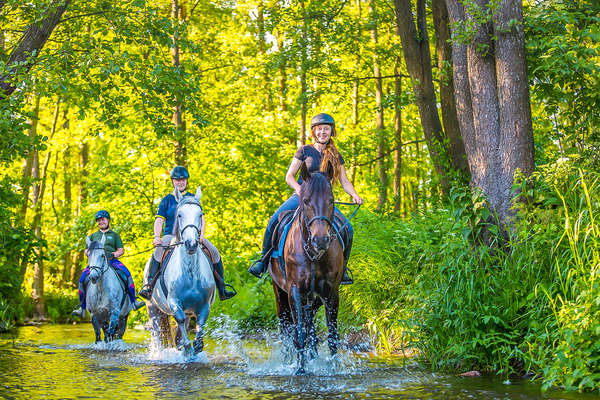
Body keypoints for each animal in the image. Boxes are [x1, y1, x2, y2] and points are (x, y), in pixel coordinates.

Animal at [143, 186, 216, 354]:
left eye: (200, 214)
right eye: (180, 214)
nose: (191, 243)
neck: (191, 274)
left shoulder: (203, 307)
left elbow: (198, 332)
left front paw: (194, 350)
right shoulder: (175, 303)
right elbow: (181, 324)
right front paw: (188, 349)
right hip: (153, 309)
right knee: (158, 335)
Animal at [270, 161, 344, 374]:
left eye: (331, 200)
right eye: (306, 201)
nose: (320, 240)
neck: (313, 256)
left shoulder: (331, 293)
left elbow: (332, 335)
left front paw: (334, 367)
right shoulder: (294, 292)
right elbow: (299, 333)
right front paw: (300, 369)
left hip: (313, 300)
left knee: (310, 327)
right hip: (280, 294)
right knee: (287, 330)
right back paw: (289, 361)